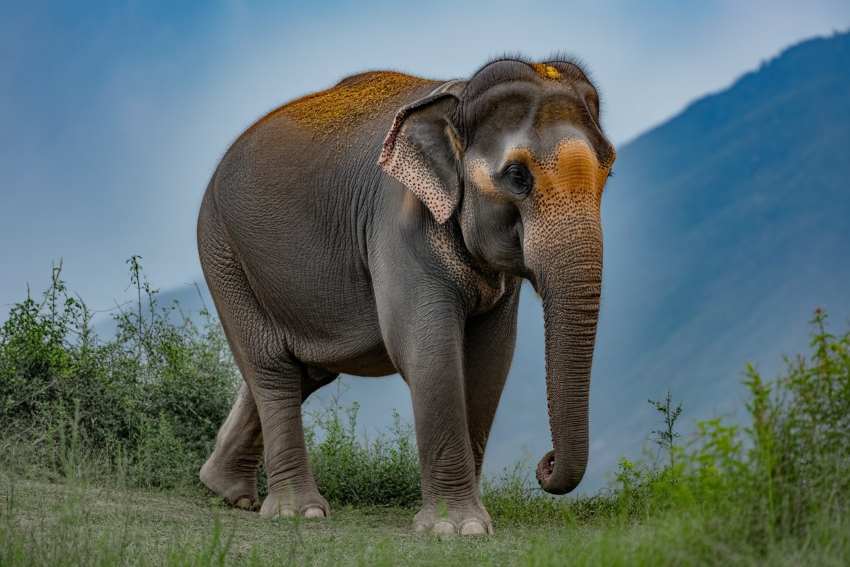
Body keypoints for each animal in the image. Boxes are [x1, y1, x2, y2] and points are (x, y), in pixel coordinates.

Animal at [197, 56, 615, 536]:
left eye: (609, 170)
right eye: (517, 176)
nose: (544, 466)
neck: (459, 99)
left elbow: (490, 361)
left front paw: (473, 524)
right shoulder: (397, 224)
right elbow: (426, 351)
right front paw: (457, 529)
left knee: (305, 370)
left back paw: (225, 489)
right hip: (224, 253)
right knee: (272, 368)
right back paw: (298, 511)